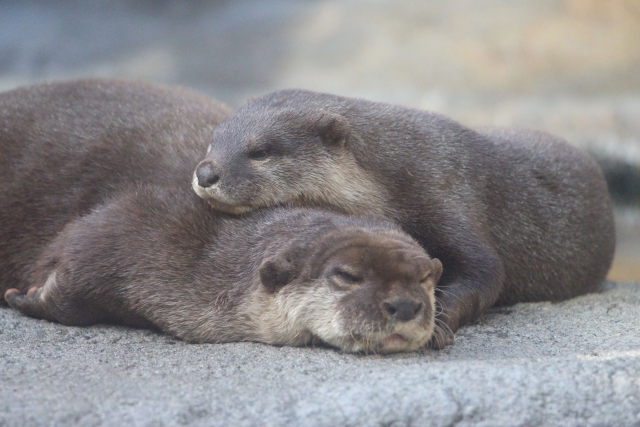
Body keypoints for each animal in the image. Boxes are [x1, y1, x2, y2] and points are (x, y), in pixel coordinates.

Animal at [0, 80, 442, 354]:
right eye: (346, 275)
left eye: (426, 277)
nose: (405, 306)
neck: (213, 251)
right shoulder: (128, 227)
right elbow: (73, 274)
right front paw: (26, 296)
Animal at [192, 88, 616, 350]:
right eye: (212, 141)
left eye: (260, 151)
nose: (206, 172)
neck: (395, 175)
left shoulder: (443, 192)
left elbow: (488, 272)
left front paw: (435, 324)